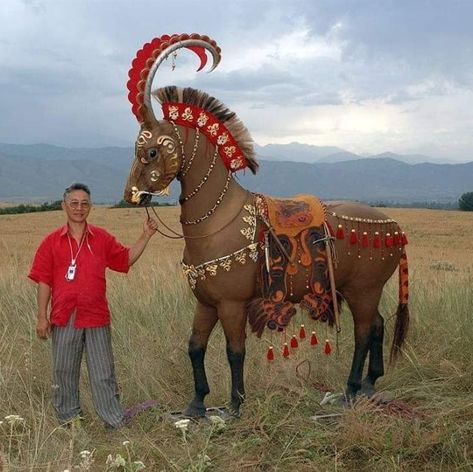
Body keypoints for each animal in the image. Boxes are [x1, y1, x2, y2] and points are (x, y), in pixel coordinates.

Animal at [123, 34, 408, 416]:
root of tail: (395, 228)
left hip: (364, 289)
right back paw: (369, 383)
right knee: (377, 325)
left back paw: (350, 389)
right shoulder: (206, 302)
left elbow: (234, 351)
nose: (131, 195)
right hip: (358, 291)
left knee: (364, 331)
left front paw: (235, 405)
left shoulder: (232, 303)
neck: (218, 220)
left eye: (151, 152)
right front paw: (196, 404)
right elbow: (195, 347)